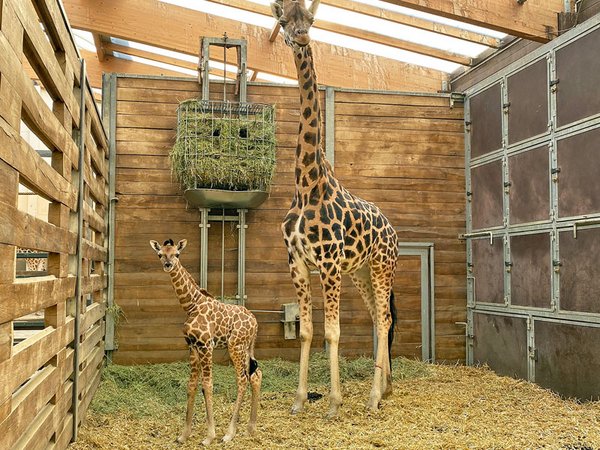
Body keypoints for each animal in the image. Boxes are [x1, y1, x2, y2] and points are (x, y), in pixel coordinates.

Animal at [149, 237, 262, 444]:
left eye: (177, 254)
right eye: (160, 254)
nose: (168, 265)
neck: (191, 305)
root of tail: (255, 323)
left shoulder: (206, 345)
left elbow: (207, 385)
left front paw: (209, 436)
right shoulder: (192, 347)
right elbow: (191, 385)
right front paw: (183, 435)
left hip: (235, 346)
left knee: (242, 379)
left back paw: (229, 433)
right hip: (246, 347)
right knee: (255, 375)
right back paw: (250, 428)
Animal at [272, 0, 398, 418]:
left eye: (311, 19)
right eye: (283, 20)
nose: (301, 38)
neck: (307, 187)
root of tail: (392, 229)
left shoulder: (328, 264)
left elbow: (332, 331)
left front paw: (334, 401)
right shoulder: (297, 262)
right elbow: (308, 331)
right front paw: (298, 400)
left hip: (381, 266)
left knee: (385, 317)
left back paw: (374, 397)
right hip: (359, 271)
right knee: (377, 316)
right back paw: (384, 389)